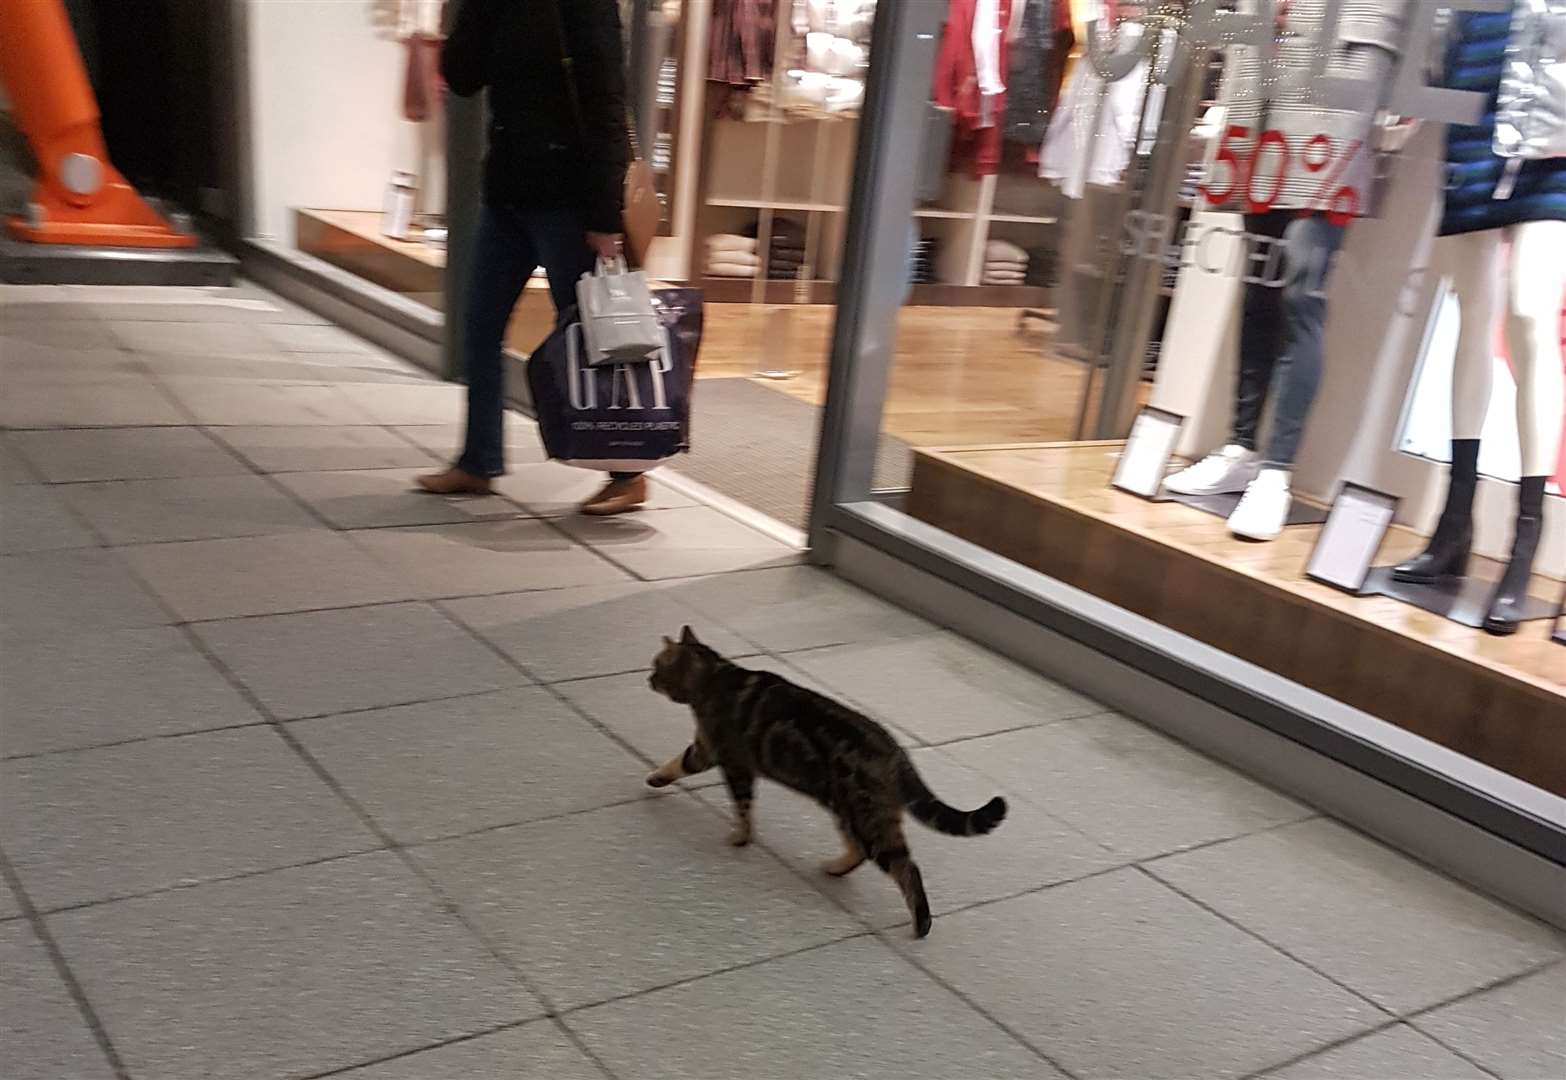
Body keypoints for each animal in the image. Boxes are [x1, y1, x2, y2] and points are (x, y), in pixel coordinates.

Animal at [645, 622, 1002, 932]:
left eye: (655, 665)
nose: (647, 679)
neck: (715, 677)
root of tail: (896, 752)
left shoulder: (729, 761)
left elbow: (740, 806)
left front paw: (741, 837)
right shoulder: (705, 750)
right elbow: (677, 765)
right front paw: (656, 779)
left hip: (866, 817)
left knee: (906, 867)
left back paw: (921, 924)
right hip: (849, 812)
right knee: (861, 853)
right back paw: (835, 868)